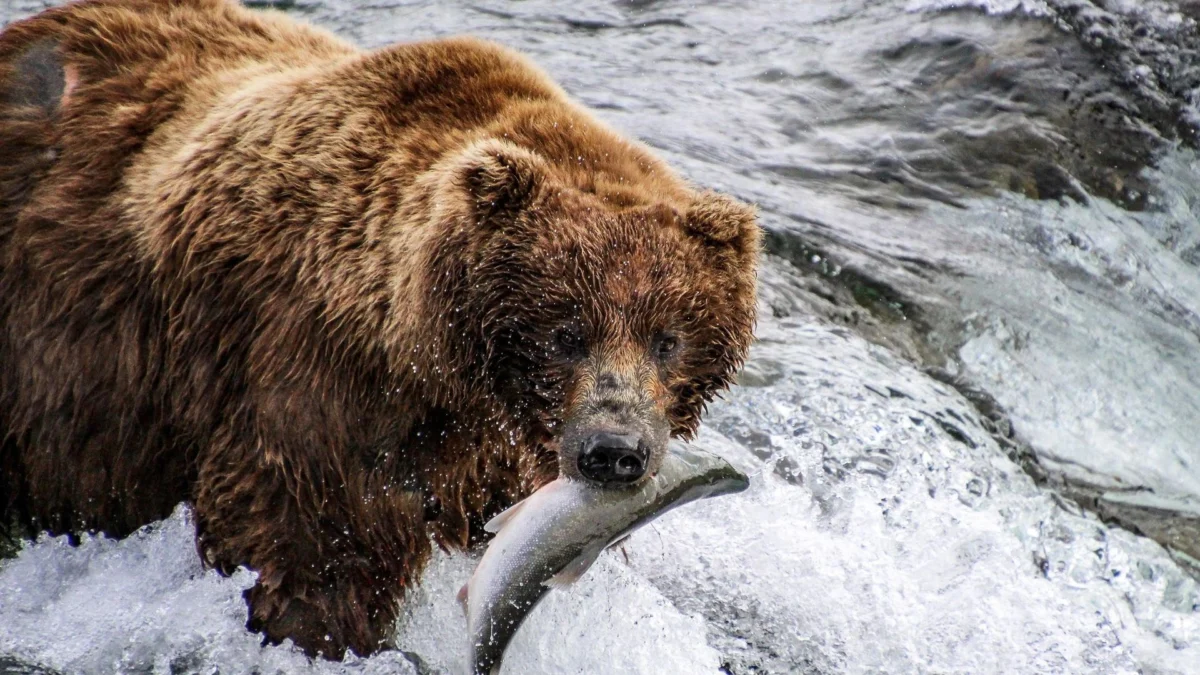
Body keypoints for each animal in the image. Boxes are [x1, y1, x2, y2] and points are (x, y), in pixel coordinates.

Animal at [0, 0, 759, 658]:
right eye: (566, 331)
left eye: (669, 337)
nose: (614, 449)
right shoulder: (313, 390)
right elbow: (313, 557)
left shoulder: (500, 455)